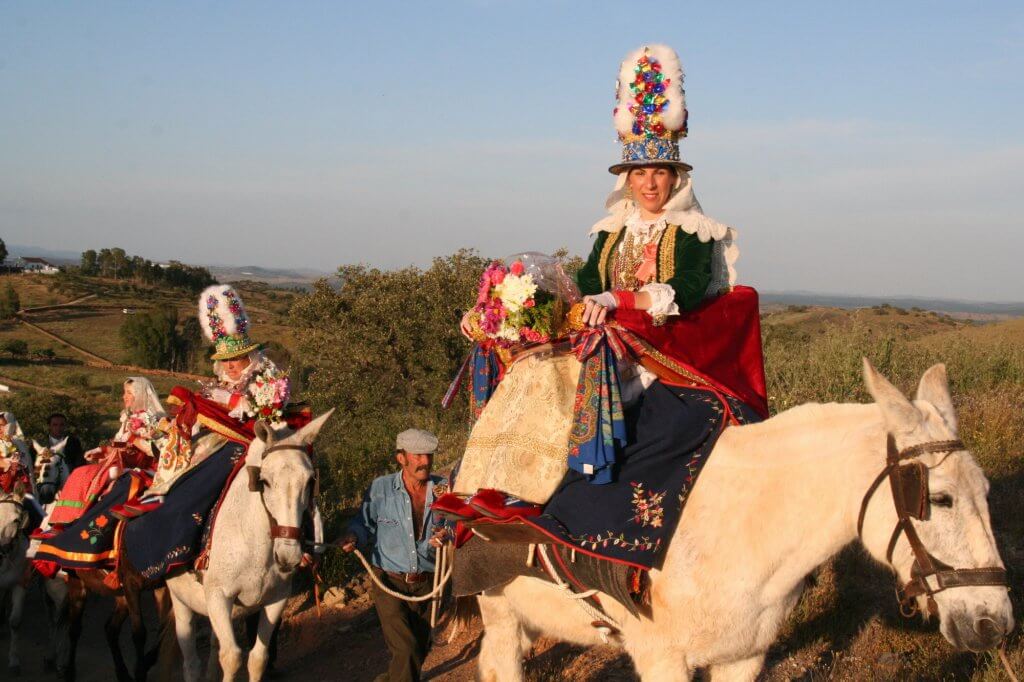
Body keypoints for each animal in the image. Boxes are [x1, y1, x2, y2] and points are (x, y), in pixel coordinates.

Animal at [165, 409, 329, 679]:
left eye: (309, 481)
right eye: (265, 481)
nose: (288, 556)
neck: (253, 544)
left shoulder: (276, 600)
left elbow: (258, 658)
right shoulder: (219, 597)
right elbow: (232, 657)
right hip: (181, 602)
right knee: (191, 662)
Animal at [475, 358, 1011, 675]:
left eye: (987, 493)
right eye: (940, 498)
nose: (995, 624)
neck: (741, 529)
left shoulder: (746, 656)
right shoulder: (662, 658)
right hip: (499, 612)